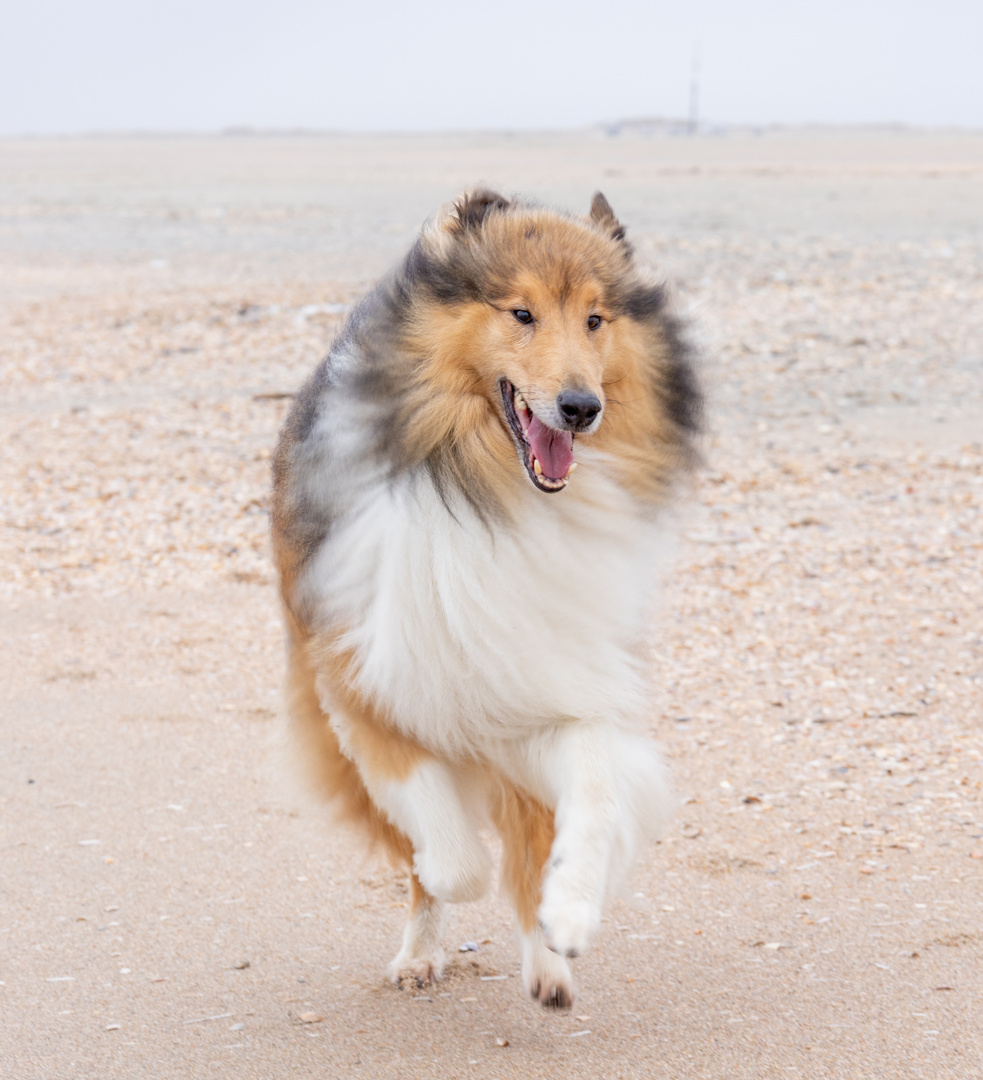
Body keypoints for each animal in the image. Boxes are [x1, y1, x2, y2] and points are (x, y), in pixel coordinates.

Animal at [268, 190, 699, 1006]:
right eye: (520, 313)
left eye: (595, 318)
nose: (579, 407)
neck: (491, 495)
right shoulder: (370, 684)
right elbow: (451, 861)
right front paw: (450, 877)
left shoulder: (551, 682)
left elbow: (588, 800)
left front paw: (568, 914)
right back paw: (418, 955)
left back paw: (547, 964)